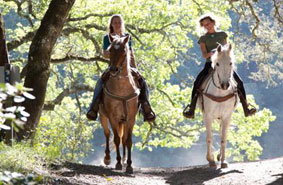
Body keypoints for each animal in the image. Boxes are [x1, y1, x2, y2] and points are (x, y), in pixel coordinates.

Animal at [99, 33, 140, 173]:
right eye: (110, 50)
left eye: (123, 51)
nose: (114, 70)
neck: (122, 89)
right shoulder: (113, 117)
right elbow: (116, 139)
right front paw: (117, 163)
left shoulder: (131, 118)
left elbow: (128, 141)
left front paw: (129, 165)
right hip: (103, 116)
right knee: (107, 133)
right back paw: (107, 158)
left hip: (124, 121)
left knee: (123, 139)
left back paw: (124, 160)